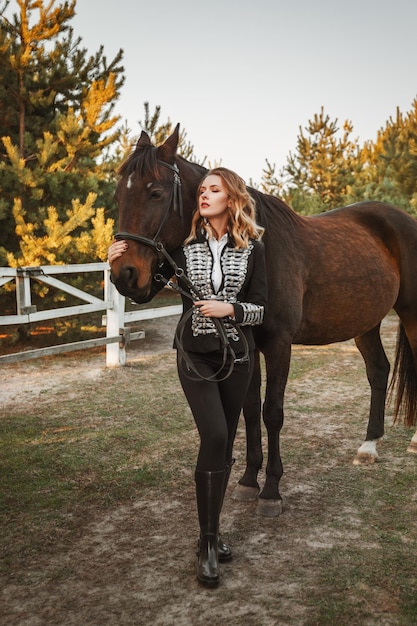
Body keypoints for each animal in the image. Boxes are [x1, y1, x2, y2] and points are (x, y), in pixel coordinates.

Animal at [109, 123, 416, 516]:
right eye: (120, 195)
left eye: (156, 193)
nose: (124, 274)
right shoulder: (248, 346)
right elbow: (251, 409)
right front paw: (247, 480)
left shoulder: (280, 344)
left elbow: (272, 412)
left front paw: (271, 490)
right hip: (365, 323)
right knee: (378, 371)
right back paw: (369, 447)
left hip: (411, 314)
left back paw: (413, 442)